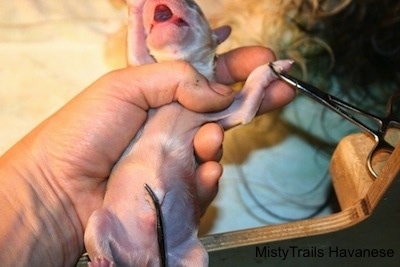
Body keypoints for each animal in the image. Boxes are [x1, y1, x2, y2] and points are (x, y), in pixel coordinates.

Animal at [84, 1, 292, 266]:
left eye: (195, 6)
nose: (156, 5)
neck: (182, 61)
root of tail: (147, 258)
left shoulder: (228, 109)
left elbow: (247, 102)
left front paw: (274, 68)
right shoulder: (143, 67)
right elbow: (136, 46)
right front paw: (136, 7)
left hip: (193, 251)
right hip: (101, 220)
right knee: (96, 230)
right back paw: (101, 260)